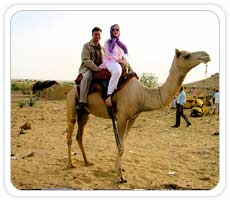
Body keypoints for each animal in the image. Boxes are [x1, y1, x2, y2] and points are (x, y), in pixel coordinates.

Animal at [65, 48, 210, 182]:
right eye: (187, 55)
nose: (206, 55)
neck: (142, 95)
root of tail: (71, 89)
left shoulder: (133, 118)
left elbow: (123, 143)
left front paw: (118, 169)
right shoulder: (121, 117)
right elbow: (121, 146)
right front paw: (120, 177)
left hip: (84, 114)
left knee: (79, 136)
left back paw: (87, 162)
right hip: (72, 104)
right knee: (70, 135)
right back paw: (70, 164)